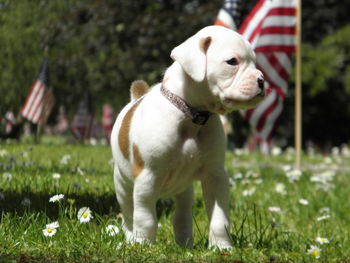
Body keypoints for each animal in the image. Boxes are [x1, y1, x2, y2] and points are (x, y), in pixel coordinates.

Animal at [110, 25, 264, 251]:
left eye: (254, 61)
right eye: (232, 61)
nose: (262, 81)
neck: (192, 116)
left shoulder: (215, 176)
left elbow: (219, 218)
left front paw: (222, 247)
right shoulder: (147, 177)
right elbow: (145, 218)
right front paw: (145, 246)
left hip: (184, 189)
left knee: (182, 214)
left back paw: (185, 244)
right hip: (123, 184)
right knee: (129, 215)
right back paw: (131, 240)